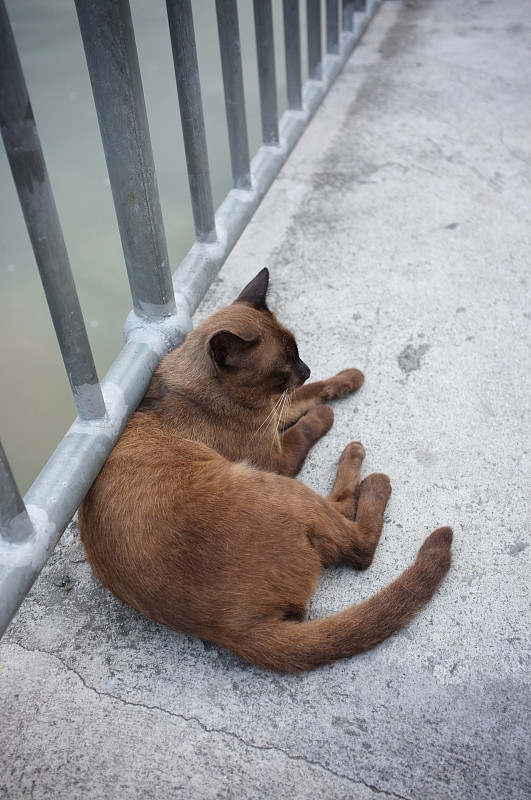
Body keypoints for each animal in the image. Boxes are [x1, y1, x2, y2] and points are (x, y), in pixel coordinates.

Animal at [79, 270, 454, 676]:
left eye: (298, 352)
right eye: (283, 366)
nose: (305, 368)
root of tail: (237, 631)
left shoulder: (276, 411)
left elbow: (313, 393)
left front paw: (351, 377)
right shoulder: (277, 454)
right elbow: (308, 421)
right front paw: (327, 413)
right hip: (277, 485)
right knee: (358, 544)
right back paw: (366, 468)